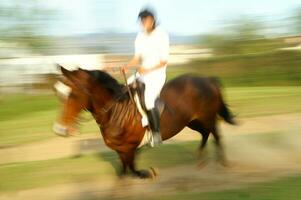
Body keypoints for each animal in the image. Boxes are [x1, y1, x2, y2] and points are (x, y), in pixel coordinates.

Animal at [52, 66, 236, 179]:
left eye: (73, 94)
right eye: (59, 94)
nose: (60, 129)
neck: (116, 110)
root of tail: (207, 79)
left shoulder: (129, 148)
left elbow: (133, 169)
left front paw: (149, 173)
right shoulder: (121, 151)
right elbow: (124, 172)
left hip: (207, 118)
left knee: (216, 135)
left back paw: (223, 162)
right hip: (193, 121)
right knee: (205, 134)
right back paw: (201, 160)